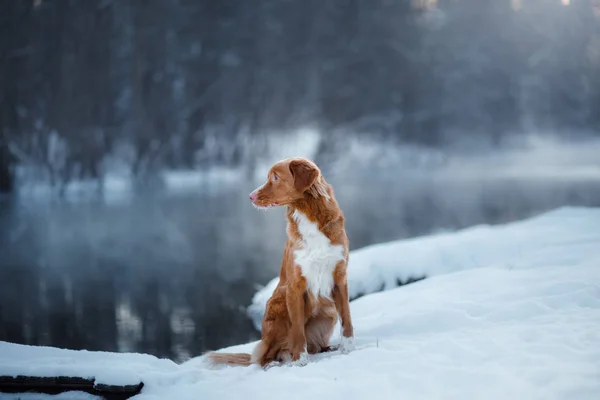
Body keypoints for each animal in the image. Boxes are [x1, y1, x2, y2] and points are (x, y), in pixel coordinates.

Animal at [207, 157, 354, 368]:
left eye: (275, 177)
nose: (250, 196)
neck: (308, 213)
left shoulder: (340, 277)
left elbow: (347, 318)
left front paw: (349, 349)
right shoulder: (295, 286)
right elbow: (297, 331)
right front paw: (299, 361)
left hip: (328, 311)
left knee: (314, 346)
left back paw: (326, 348)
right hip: (279, 301)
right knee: (267, 354)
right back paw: (276, 361)